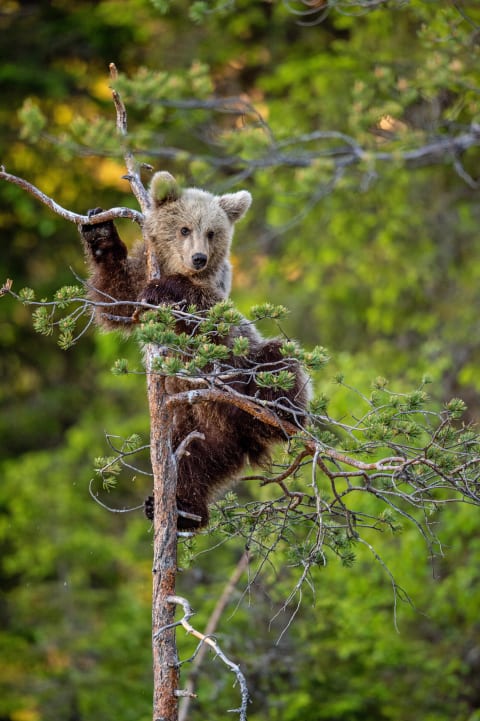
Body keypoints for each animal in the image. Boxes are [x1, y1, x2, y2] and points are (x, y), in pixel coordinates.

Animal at [80, 171, 310, 524]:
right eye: (184, 229)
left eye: (212, 232)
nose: (198, 258)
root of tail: (242, 432)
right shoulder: (138, 281)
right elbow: (113, 299)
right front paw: (100, 230)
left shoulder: (217, 295)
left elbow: (211, 316)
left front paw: (169, 288)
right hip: (196, 426)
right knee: (194, 461)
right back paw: (180, 510)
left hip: (240, 371)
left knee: (278, 358)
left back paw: (280, 409)